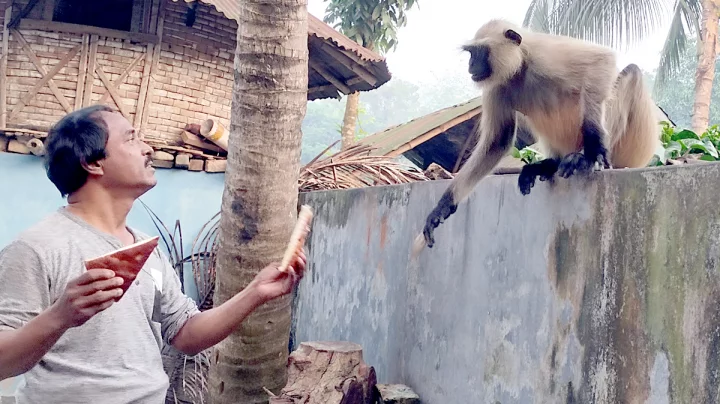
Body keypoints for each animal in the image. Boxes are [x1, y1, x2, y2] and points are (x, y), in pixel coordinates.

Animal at [414, 19, 660, 254]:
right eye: (471, 54)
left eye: (479, 52)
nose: (470, 66)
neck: (521, 68)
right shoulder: (497, 87)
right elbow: (497, 142)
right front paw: (444, 205)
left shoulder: (545, 55)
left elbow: (602, 59)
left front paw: (592, 153)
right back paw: (551, 164)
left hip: (632, 146)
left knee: (630, 73)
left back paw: (583, 158)